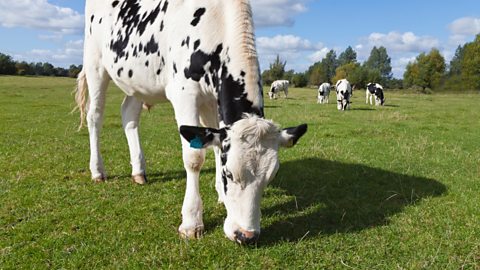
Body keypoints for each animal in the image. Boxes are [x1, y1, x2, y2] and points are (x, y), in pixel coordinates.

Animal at [75, 0, 308, 245]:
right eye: (230, 174)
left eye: (270, 177)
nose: (246, 235)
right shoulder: (184, 94)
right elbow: (194, 158)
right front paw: (192, 221)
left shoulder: (211, 100)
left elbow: (215, 145)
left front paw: (220, 195)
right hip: (95, 65)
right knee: (95, 116)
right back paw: (98, 171)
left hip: (138, 81)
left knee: (128, 115)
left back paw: (138, 171)